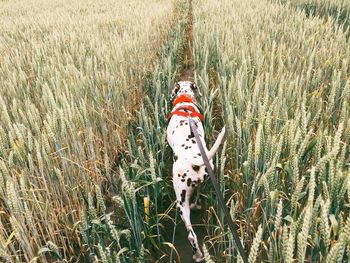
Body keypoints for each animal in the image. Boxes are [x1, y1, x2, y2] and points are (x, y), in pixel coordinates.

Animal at [167, 81, 227, 262]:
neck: (185, 101)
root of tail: (193, 159)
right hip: (203, 179)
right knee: (199, 191)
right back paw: (197, 204)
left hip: (180, 201)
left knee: (191, 235)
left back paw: (198, 254)